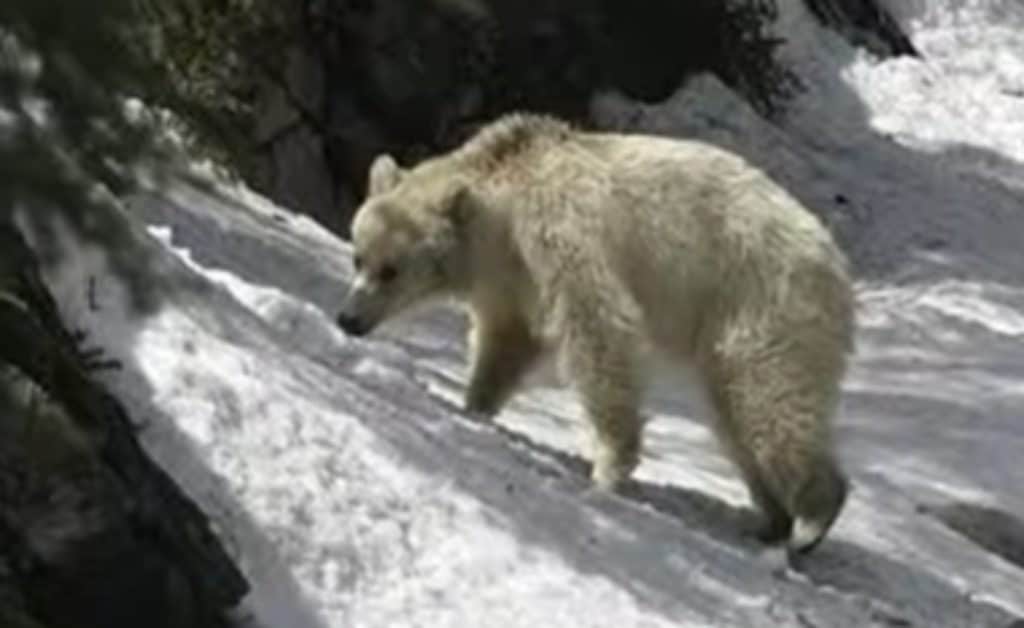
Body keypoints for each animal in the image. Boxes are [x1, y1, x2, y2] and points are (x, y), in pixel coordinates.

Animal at [336, 112, 855, 554]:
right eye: (358, 256)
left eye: (391, 270)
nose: (348, 319)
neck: (505, 194)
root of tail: (835, 263)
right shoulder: (509, 278)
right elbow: (505, 343)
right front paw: (473, 406)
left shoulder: (559, 235)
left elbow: (598, 330)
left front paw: (607, 470)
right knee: (735, 416)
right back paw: (770, 520)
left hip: (764, 306)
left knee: (769, 400)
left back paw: (809, 521)